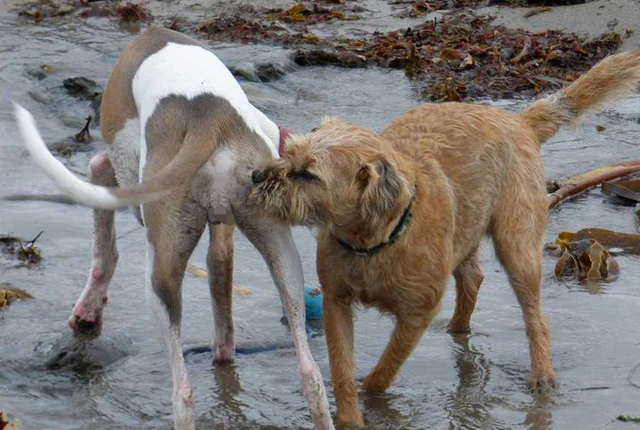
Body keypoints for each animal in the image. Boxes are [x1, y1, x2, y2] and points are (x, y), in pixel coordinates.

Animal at [13, 27, 336, 430]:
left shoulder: (121, 176)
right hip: (282, 254)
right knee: (309, 372)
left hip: (159, 267)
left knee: (183, 392)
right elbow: (221, 285)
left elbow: (104, 236)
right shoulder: (224, 235)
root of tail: (208, 123)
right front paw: (223, 350)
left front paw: (88, 312)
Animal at [249, 50, 640, 426]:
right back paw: (457, 330)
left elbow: (386, 367)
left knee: (535, 317)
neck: (371, 242)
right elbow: (341, 366)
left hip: (517, 246)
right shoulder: (336, 301)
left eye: (307, 174)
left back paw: (541, 373)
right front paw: (348, 415)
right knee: (472, 279)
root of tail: (517, 122)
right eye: (288, 154)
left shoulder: (416, 313)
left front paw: (371, 396)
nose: (255, 175)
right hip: (466, 228)